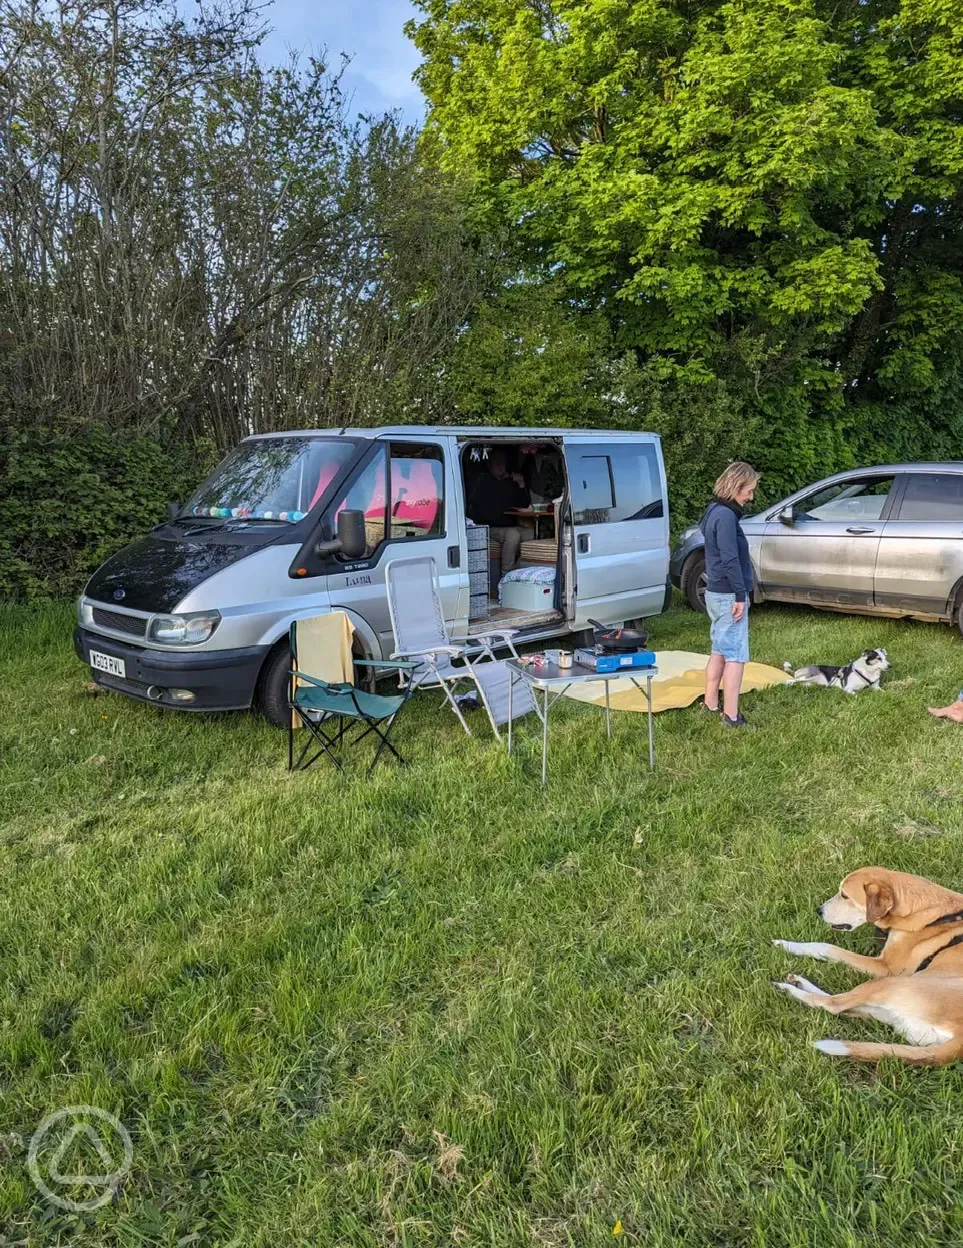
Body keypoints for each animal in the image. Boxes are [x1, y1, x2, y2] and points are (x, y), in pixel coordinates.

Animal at [773, 868, 963, 1063]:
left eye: (844, 895)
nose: (819, 911)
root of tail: (958, 1043)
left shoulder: (886, 968)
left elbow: (826, 947)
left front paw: (789, 945)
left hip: (893, 982)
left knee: (833, 1005)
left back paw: (787, 988)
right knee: (846, 1005)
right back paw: (798, 982)